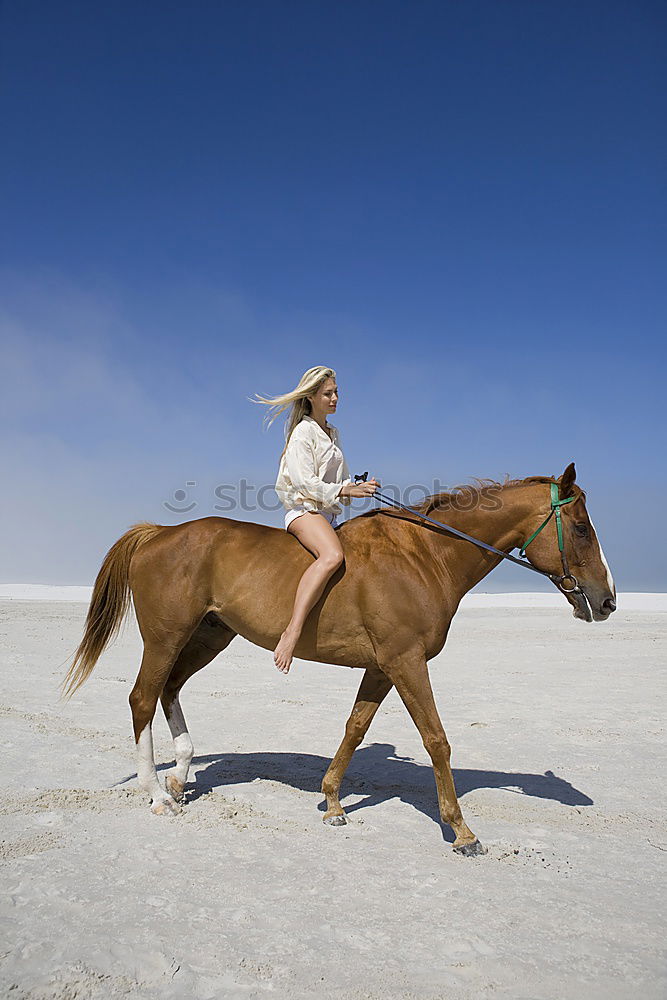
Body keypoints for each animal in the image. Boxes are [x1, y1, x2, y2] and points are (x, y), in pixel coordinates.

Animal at [62, 464, 616, 856]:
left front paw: (330, 803)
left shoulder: (382, 667)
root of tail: (157, 533)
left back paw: (179, 778)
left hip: (209, 638)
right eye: (581, 528)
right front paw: (461, 831)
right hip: (166, 637)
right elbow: (436, 739)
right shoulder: (407, 662)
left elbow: (355, 728)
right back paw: (157, 795)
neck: (426, 556)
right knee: (142, 697)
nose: (607, 600)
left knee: (170, 689)